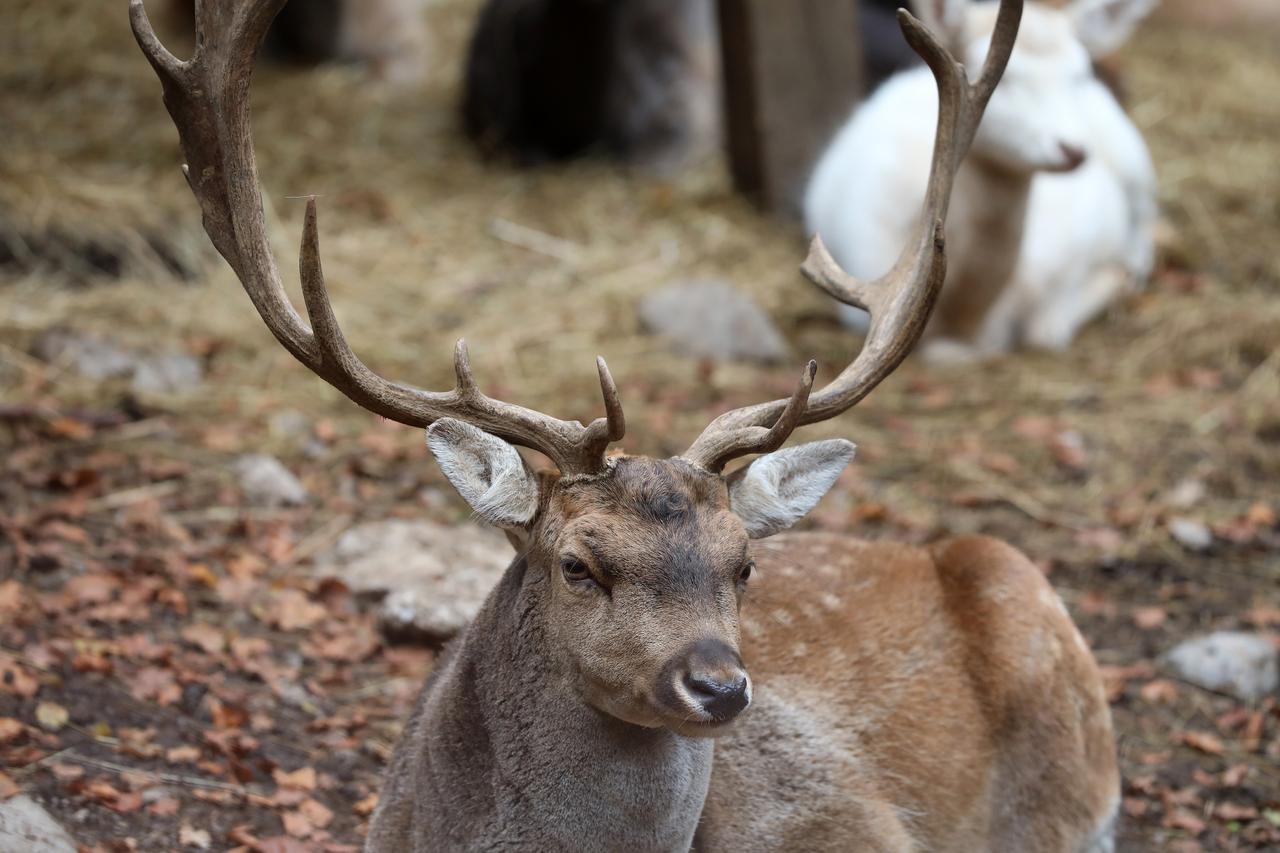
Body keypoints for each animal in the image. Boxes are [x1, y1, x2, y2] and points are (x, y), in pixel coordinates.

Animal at [808, 0, 1162, 361]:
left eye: (1081, 73)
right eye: (1004, 78)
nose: (1073, 149)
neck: (969, 311)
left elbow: (1045, 334)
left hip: (1134, 160)